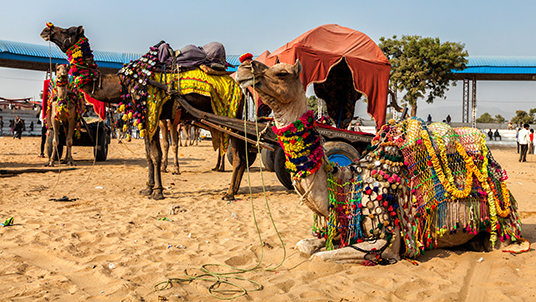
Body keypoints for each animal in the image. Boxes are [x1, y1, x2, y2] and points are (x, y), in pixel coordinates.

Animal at [40, 23, 248, 201]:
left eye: (67, 31)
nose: (46, 30)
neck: (127, 81)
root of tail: (240, 90)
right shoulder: (149, 116)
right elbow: (150, 154)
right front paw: (148, 188)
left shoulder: (151, 111)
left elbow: (155, 154)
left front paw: (157, 192)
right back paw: (234, 189)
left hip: (230, 115)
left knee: (238, 155)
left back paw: (229, 193)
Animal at [236, 60, 524, 264]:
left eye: (282, 73)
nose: (243, 66)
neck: (346, 184)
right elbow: (305, 246)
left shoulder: (387, 240)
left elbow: (320, 257)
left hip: (501, 217)